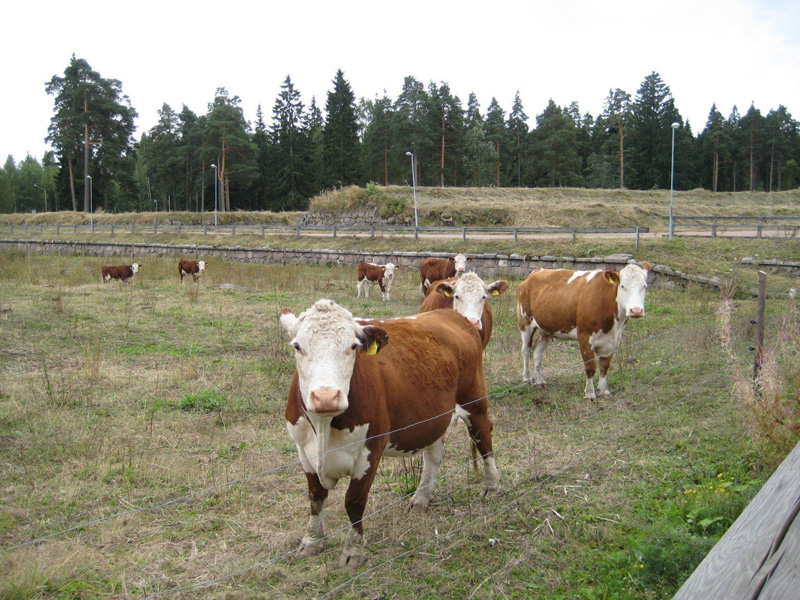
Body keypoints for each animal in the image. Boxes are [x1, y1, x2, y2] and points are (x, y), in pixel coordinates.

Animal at [278, 300, 496, 568]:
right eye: (297, 346)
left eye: (353, 346)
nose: (326, 397)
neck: (323, 426)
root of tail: (455, 316)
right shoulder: (303, 450)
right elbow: (315, 496)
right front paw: (311, 541)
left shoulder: (370, 449)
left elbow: (354, 501)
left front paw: (354, 551)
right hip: (435, 417)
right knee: (433, 456)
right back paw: (421, 498)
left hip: (475, 402)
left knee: (484, 438)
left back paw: (491, 485)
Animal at [516, 262, 652, 398]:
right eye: (623, 286)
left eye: (644, 286)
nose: (636, 310)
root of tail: (534, 273)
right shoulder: (585, 337)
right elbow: (590, 367)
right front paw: (590, 393)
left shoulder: (613, 340)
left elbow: (604, 366)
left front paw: (604, 391)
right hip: (525, 322)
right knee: (526, 350)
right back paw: (527, 378)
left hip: (545, 328)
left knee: (537, 352)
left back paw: (539, 381)